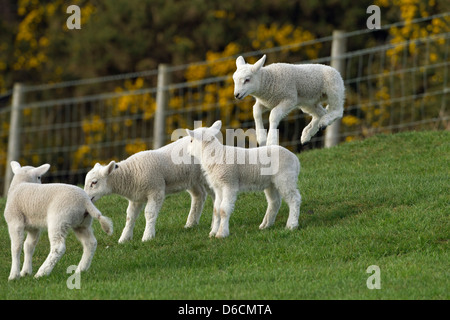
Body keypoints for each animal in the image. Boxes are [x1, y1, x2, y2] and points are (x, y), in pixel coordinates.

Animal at [85, 136, 214, 244]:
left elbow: (149, 213)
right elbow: (130, 216)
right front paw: (124, 238)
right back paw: (191, 223)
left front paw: (148, 236)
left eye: (94, 182)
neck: (130, 174)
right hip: (191, 179)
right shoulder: (136, 198)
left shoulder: (156, 191)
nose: (84, 197)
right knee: (199, 195)